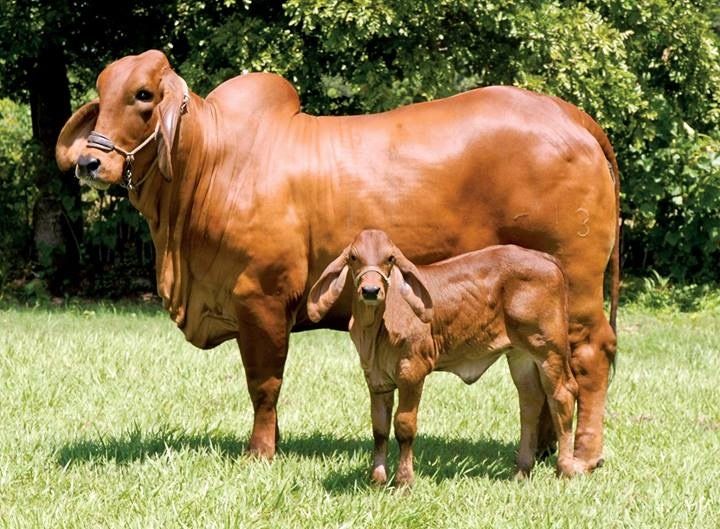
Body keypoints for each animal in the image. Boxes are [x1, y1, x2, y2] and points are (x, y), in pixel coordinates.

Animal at [308, 229, 584, 484]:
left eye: (390, 258)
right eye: (353, 257)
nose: (370, 290)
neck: (375, 329)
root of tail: (546, 258)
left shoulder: (412, 372)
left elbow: (404, 427)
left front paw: (403, 482)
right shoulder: (376, 379)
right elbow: (379, 429)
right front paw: (376, 481)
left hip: (549, 349)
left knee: (562, 395)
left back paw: (564, 470)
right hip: (520, 355)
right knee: (530, 402)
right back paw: (521, 472)